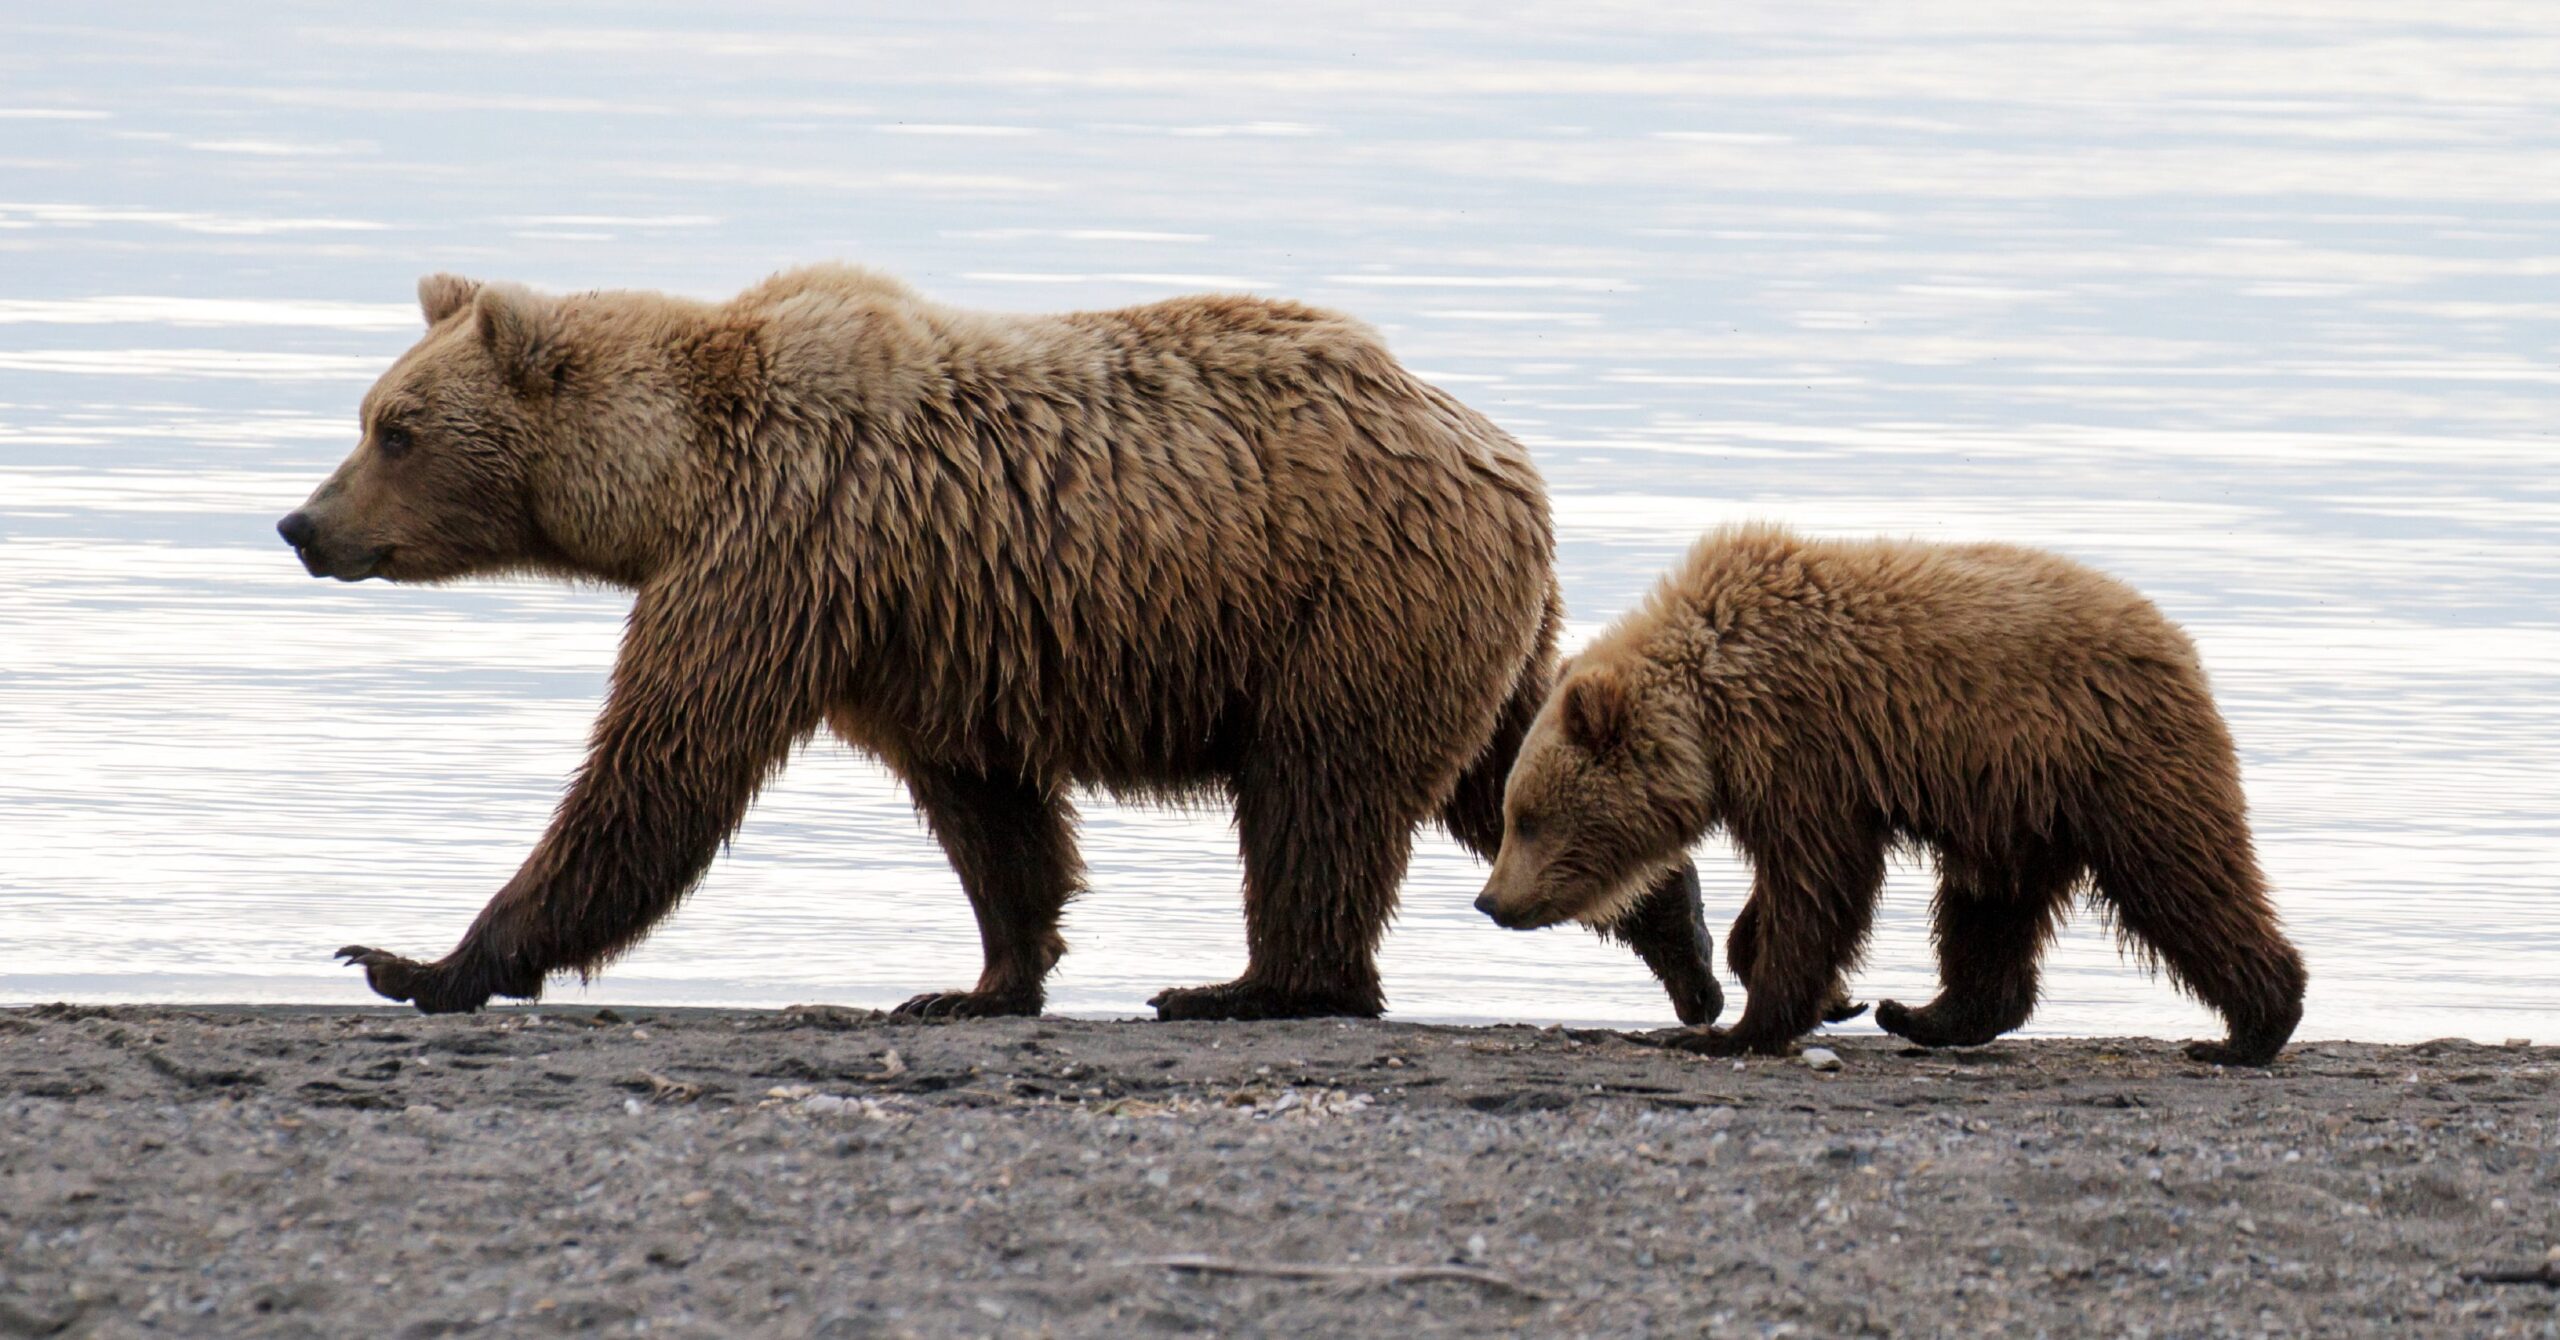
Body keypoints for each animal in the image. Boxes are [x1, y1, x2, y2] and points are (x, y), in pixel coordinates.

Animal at [279, 265, 1724, 1024]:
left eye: (394, 426)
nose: (300, 523)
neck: (670, 479)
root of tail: (1499, 453)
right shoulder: (916, 628)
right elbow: (989, 812)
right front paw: (981, 979)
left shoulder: (782, 553)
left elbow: (662, 768)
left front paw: (419, 958)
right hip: (1459, 620)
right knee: (1505, 760)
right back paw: (1682, 949)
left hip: (1344, 598)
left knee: (1321, 795)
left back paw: (1257, 983)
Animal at [1472, 523, 2307, 1065]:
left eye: (1528, 818)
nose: (1490, 901)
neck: (1717, 709)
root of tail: (2177, 640)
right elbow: (1800, 890)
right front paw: (1831, 995)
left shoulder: (1807, 751)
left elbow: (1817, 886)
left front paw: (1743, 1026)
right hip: (2018, 807)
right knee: (1989, 911)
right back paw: (1926, 1015)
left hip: (2113, 763)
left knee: (2182, 881)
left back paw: (2249, 1029)